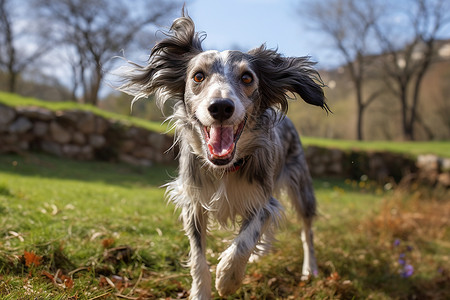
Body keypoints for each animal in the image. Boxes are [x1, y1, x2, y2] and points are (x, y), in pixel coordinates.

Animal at [119, 12, 328, 300]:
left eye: (247, 78)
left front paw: (228, 279)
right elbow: (198, 258)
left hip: (301, 188)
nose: (220, 107)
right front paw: (202, 291)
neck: (223, 169)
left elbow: (245, 240)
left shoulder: (262, 201)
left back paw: (310, 269)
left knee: (307, 232)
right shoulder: (194, 203)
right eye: (198, 76)